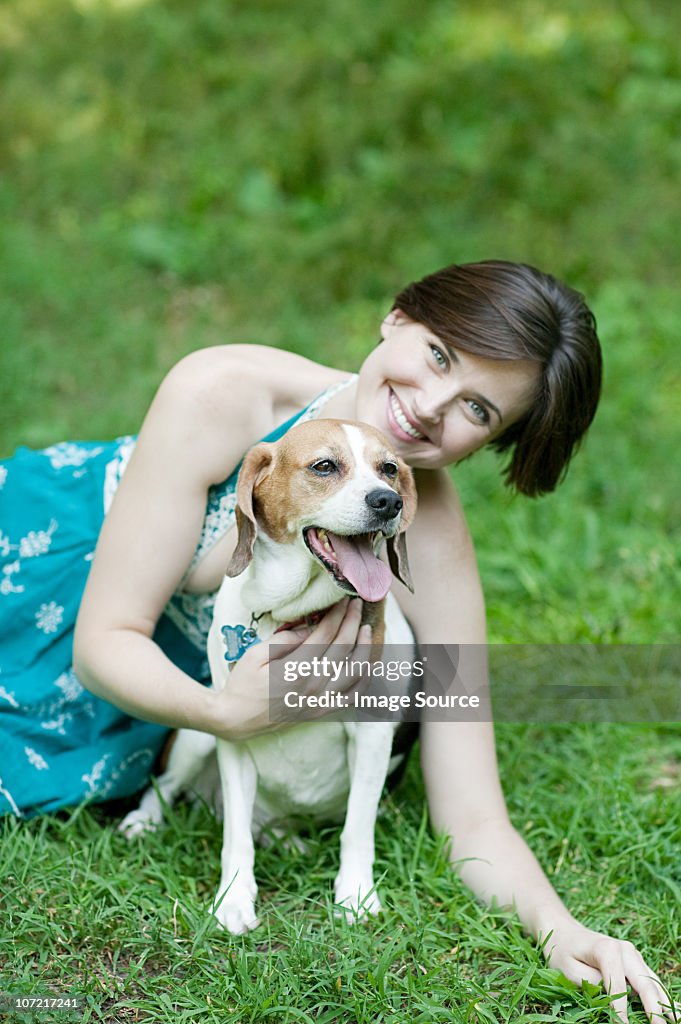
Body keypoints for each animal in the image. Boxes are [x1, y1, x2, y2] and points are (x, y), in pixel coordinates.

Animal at [122, 417, 419, 937]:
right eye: (324, 466)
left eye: (388, 469)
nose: (388, 501)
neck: (293, 614)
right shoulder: (231, 733)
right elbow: (236, 835)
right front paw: (233, 900)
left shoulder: (373, 735)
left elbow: (357, 828)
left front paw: (356, 895)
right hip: (197, 736)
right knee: (167, 788)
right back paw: (145, 821)